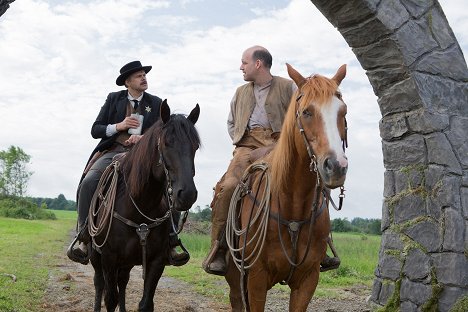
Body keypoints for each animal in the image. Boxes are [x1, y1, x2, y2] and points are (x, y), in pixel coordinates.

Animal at [88, 100, 200, 312]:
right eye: (166, 143)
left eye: (195, 146)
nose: (187, 194)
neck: (139, 205)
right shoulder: (108, 258)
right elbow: (110, 298)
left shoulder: (156, 261)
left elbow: (145, 303)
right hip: (97, 257)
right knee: (99, 283)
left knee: (123, 281)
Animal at [225, 64, 350, 312]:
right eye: (307, 112)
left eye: (343, 111)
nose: (336, 166)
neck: (292, 203)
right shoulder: (255, 279)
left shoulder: (308, 280)